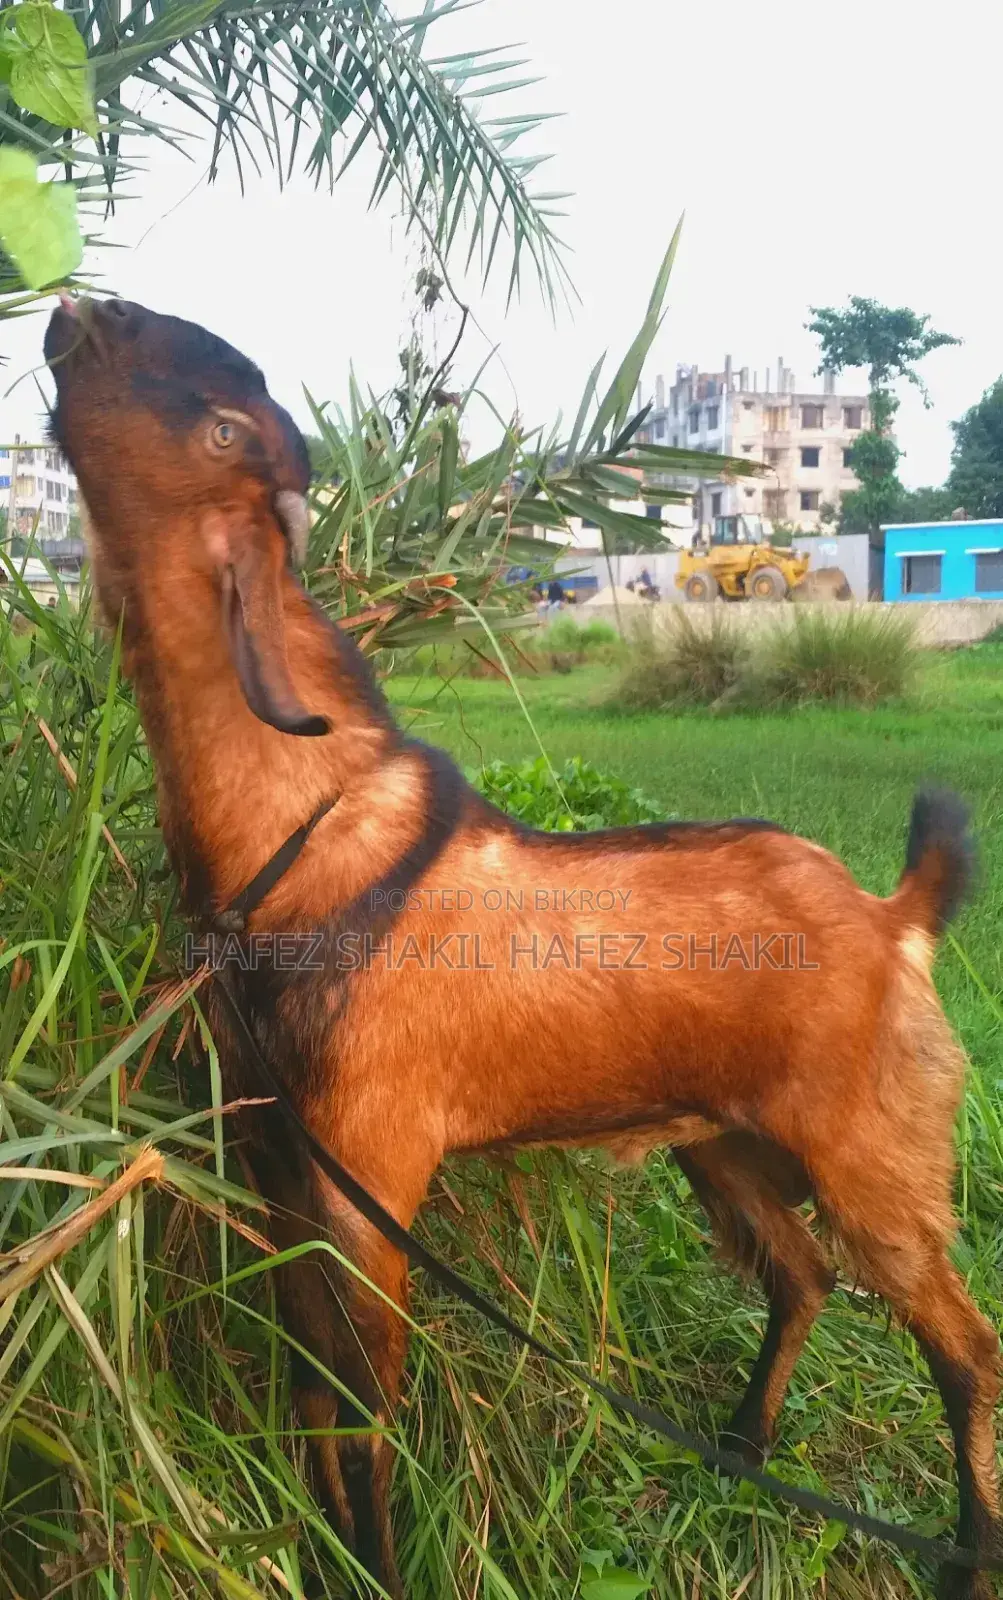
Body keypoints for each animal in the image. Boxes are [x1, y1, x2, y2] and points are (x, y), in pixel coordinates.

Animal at [45, 295, 1001, 1600]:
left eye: (221, 425)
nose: (83, 309)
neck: (302, 830)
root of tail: (894, 915)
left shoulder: (374, 1178)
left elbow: (363, 1415)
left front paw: (377, 1570)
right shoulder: (283, 1168)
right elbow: (309, 1397)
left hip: (875, 1154)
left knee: (963, 1340)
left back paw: (968, 1551)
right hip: (723, 1138)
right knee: (801, 1273)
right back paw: (740, 1447)